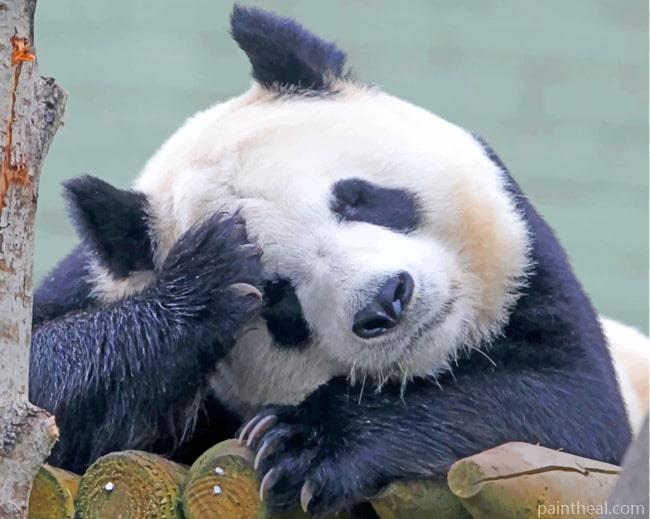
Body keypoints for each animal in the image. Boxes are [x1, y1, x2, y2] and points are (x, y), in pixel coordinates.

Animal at [30, 5, 634, 516]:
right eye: (278, 297)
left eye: (355, 197)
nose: (387, 301)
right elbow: (37, 385)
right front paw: (205, 281)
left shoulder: (538, 285)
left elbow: (564, 406)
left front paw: (303, 445)